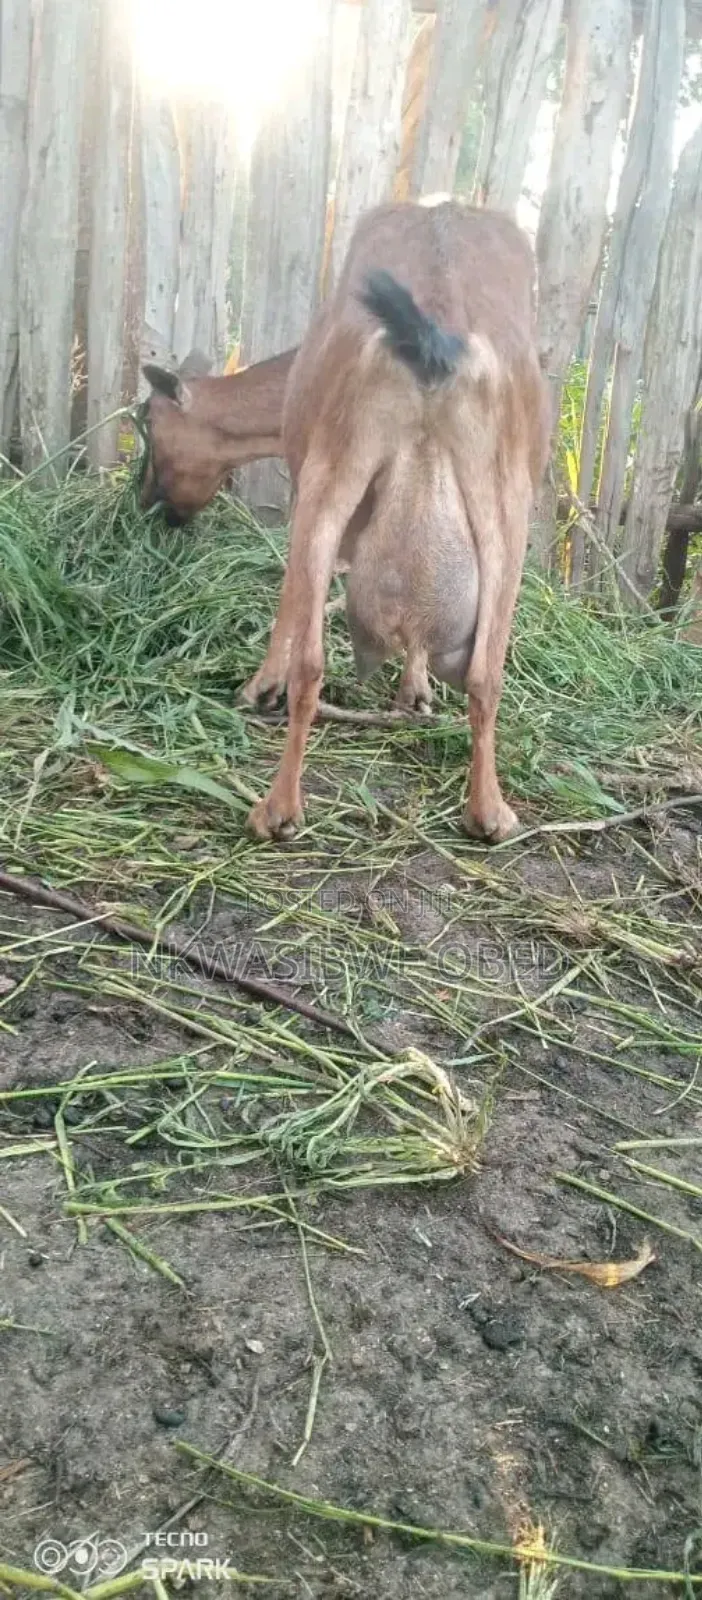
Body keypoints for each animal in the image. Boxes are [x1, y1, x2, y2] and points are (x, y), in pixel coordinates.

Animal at [241, 200, 551, 844]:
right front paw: (418, 690)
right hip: (505, 507)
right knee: (487, 675)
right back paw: (489, 813)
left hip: (330, 474)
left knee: (312, 661)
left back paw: (276, 810)